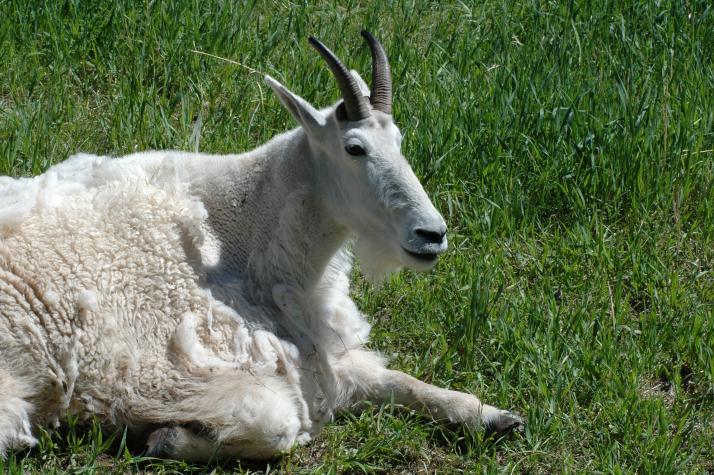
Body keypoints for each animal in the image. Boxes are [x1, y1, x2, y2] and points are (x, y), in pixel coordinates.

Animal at [0, 31, 524, 462]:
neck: (247, 233)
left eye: (399, 139)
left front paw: (494, 415)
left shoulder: (316, 357)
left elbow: (400, 381)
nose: (431, 234)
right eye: (354, 148)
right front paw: (167, 437)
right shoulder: (170, 370)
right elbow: (277, 426)